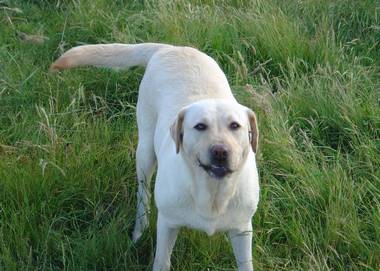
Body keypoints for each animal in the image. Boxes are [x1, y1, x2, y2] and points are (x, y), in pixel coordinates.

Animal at [50, 43, 260, 270]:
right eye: (200, 126)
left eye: (235, 126)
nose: (220, 151)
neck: (212, 193)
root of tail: (170, 47)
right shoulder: (167, 224)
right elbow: (162, 261)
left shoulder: (242, 230)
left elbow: (245, 264)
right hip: (145, 151)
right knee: (143, 194)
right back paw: (139, 231)